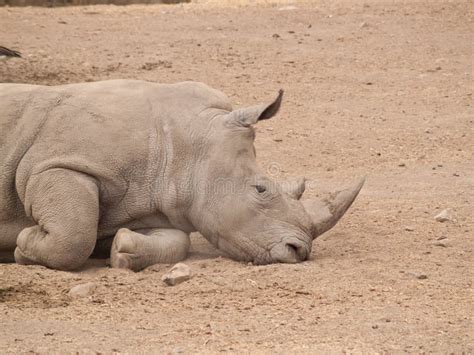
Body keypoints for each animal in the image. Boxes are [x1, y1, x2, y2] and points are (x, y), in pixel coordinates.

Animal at [0, 79, 364, 272]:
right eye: (261, 189)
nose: (299, 251)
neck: (183, 145)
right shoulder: (57, 164)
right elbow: (74, 234)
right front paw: (23, 244)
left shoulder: (151, 199)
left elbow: (177, 242)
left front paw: (122, 249)